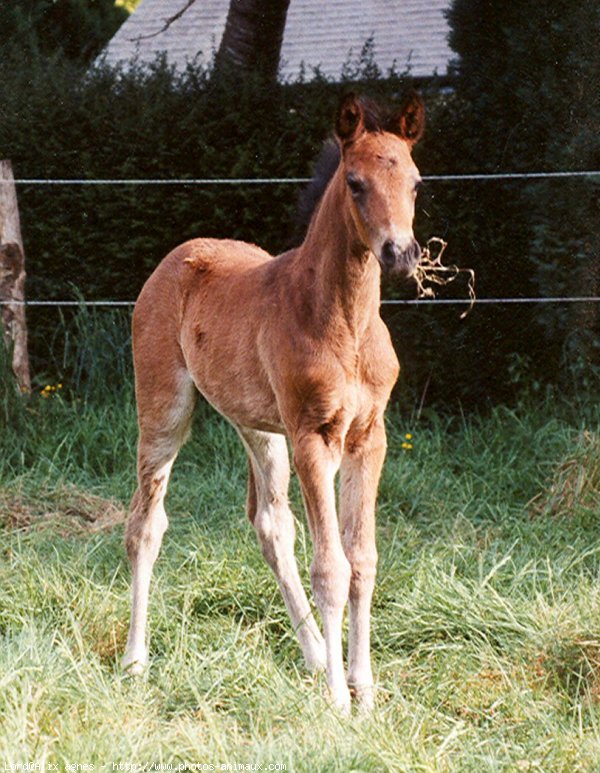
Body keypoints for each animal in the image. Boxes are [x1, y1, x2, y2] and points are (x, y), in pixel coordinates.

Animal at [122, 92, 424, 712]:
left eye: (415, 182)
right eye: (355, 182)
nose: (401, 253)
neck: (344, 323)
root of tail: (179, 255)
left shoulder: (369, 437)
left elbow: (362, 560)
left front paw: (363, 688)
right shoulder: (314, 435)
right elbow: (331, 566)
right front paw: (338, 700)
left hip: (260, 429)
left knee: (271, 525)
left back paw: (313, 656)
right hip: (165, 409)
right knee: (145, 524)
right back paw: (135, 660)